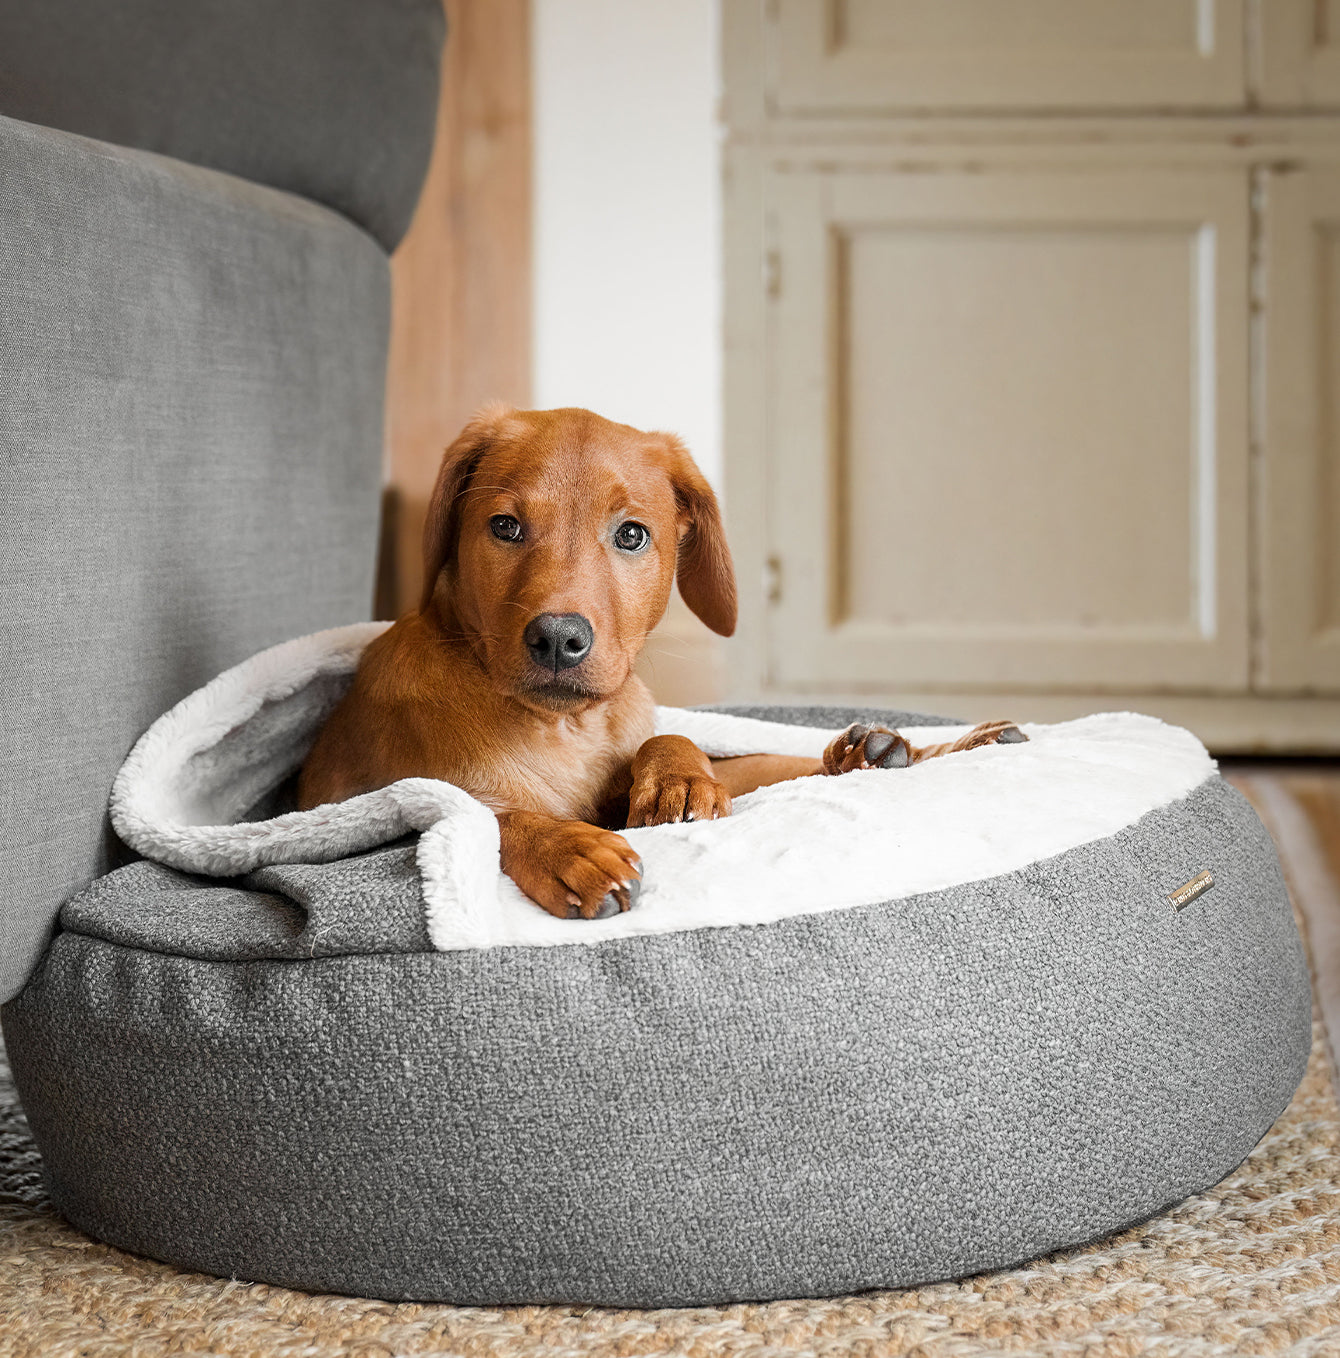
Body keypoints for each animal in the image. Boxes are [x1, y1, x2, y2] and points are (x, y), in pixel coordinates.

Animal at [295, 401, 1026, 923]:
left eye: (631, 535)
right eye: (504, 527)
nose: (558, 639)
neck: (566, 728)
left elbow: (714, 751)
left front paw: (682, 780)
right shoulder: (384, 801)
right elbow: (485, 812)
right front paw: (566, 846)